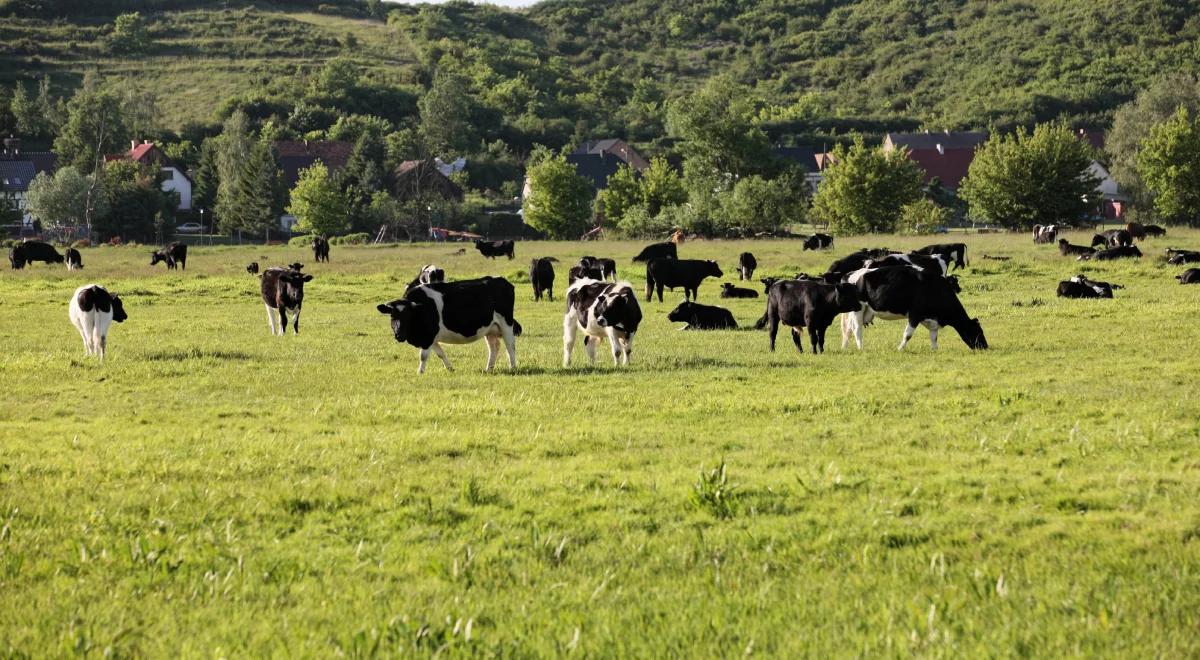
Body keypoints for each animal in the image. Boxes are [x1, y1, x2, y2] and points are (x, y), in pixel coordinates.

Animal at [376, 277, 523, 374]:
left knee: (510, 346)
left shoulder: (428, 336)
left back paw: (513, 367)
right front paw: (450, 368)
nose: (398, 335)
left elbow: (423, 356)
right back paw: (488, 369)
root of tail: (501, 280)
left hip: (506, 324)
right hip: (490, 328)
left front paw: (420, 372)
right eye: (392, 316)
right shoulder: (431, 338)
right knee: (494, 347)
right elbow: (440, 353)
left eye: (408, 316)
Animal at [840, 266, 988, 355]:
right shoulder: (915, 315)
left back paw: (845, 347)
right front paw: (900, 349)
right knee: (857, 328)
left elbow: (934, 337)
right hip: (859, 308)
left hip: (864, 310)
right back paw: (861, 348)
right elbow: (908, 335)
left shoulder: (932, 320)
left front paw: (935, 350)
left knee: (848, 328)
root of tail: (850, 274)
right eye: (978, 331)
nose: (985, 347)